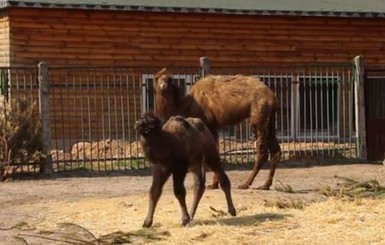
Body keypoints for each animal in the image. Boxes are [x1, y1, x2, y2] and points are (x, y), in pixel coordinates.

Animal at [153, 68, 282, 190]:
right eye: (156, 78)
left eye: (170, 79)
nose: (163, 84)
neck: (187, 105)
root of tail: (273, 97)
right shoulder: (213, 127)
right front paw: (214, 184)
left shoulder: (208, 125)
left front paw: (211, 184)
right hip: (269, 120)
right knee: (276, 151)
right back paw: (265, 185)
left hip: (258, 116)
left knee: (262, 152)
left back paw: (245, 184)